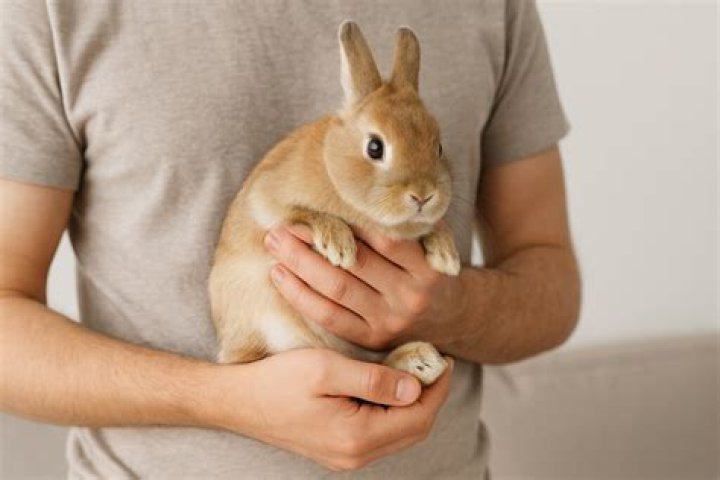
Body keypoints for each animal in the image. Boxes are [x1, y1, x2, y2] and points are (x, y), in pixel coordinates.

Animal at [208, 21, 460, 386]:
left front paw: (447, 257)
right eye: (374, 147)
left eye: (439, 147)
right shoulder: (266, 198)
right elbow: (300, 213)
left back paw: (422, 362)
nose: (423, 195)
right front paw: (339, 246)